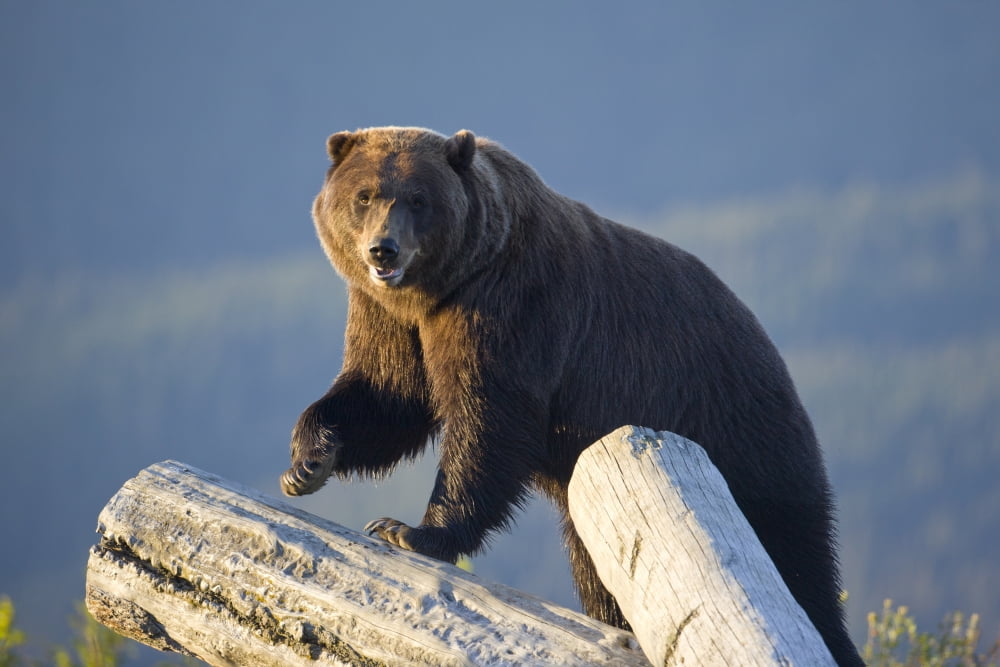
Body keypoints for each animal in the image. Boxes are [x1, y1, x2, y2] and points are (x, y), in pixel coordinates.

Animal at [280, 127, 862, 665]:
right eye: (365, 195)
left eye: (419, 199)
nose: (384, 249)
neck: (441, 289)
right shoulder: (390, 316)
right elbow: (386, 394)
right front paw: (307, 463)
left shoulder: (510, 307)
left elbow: (487, 419)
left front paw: (408, 530)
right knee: (600, 573)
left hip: (742, 439)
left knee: (794, 563)